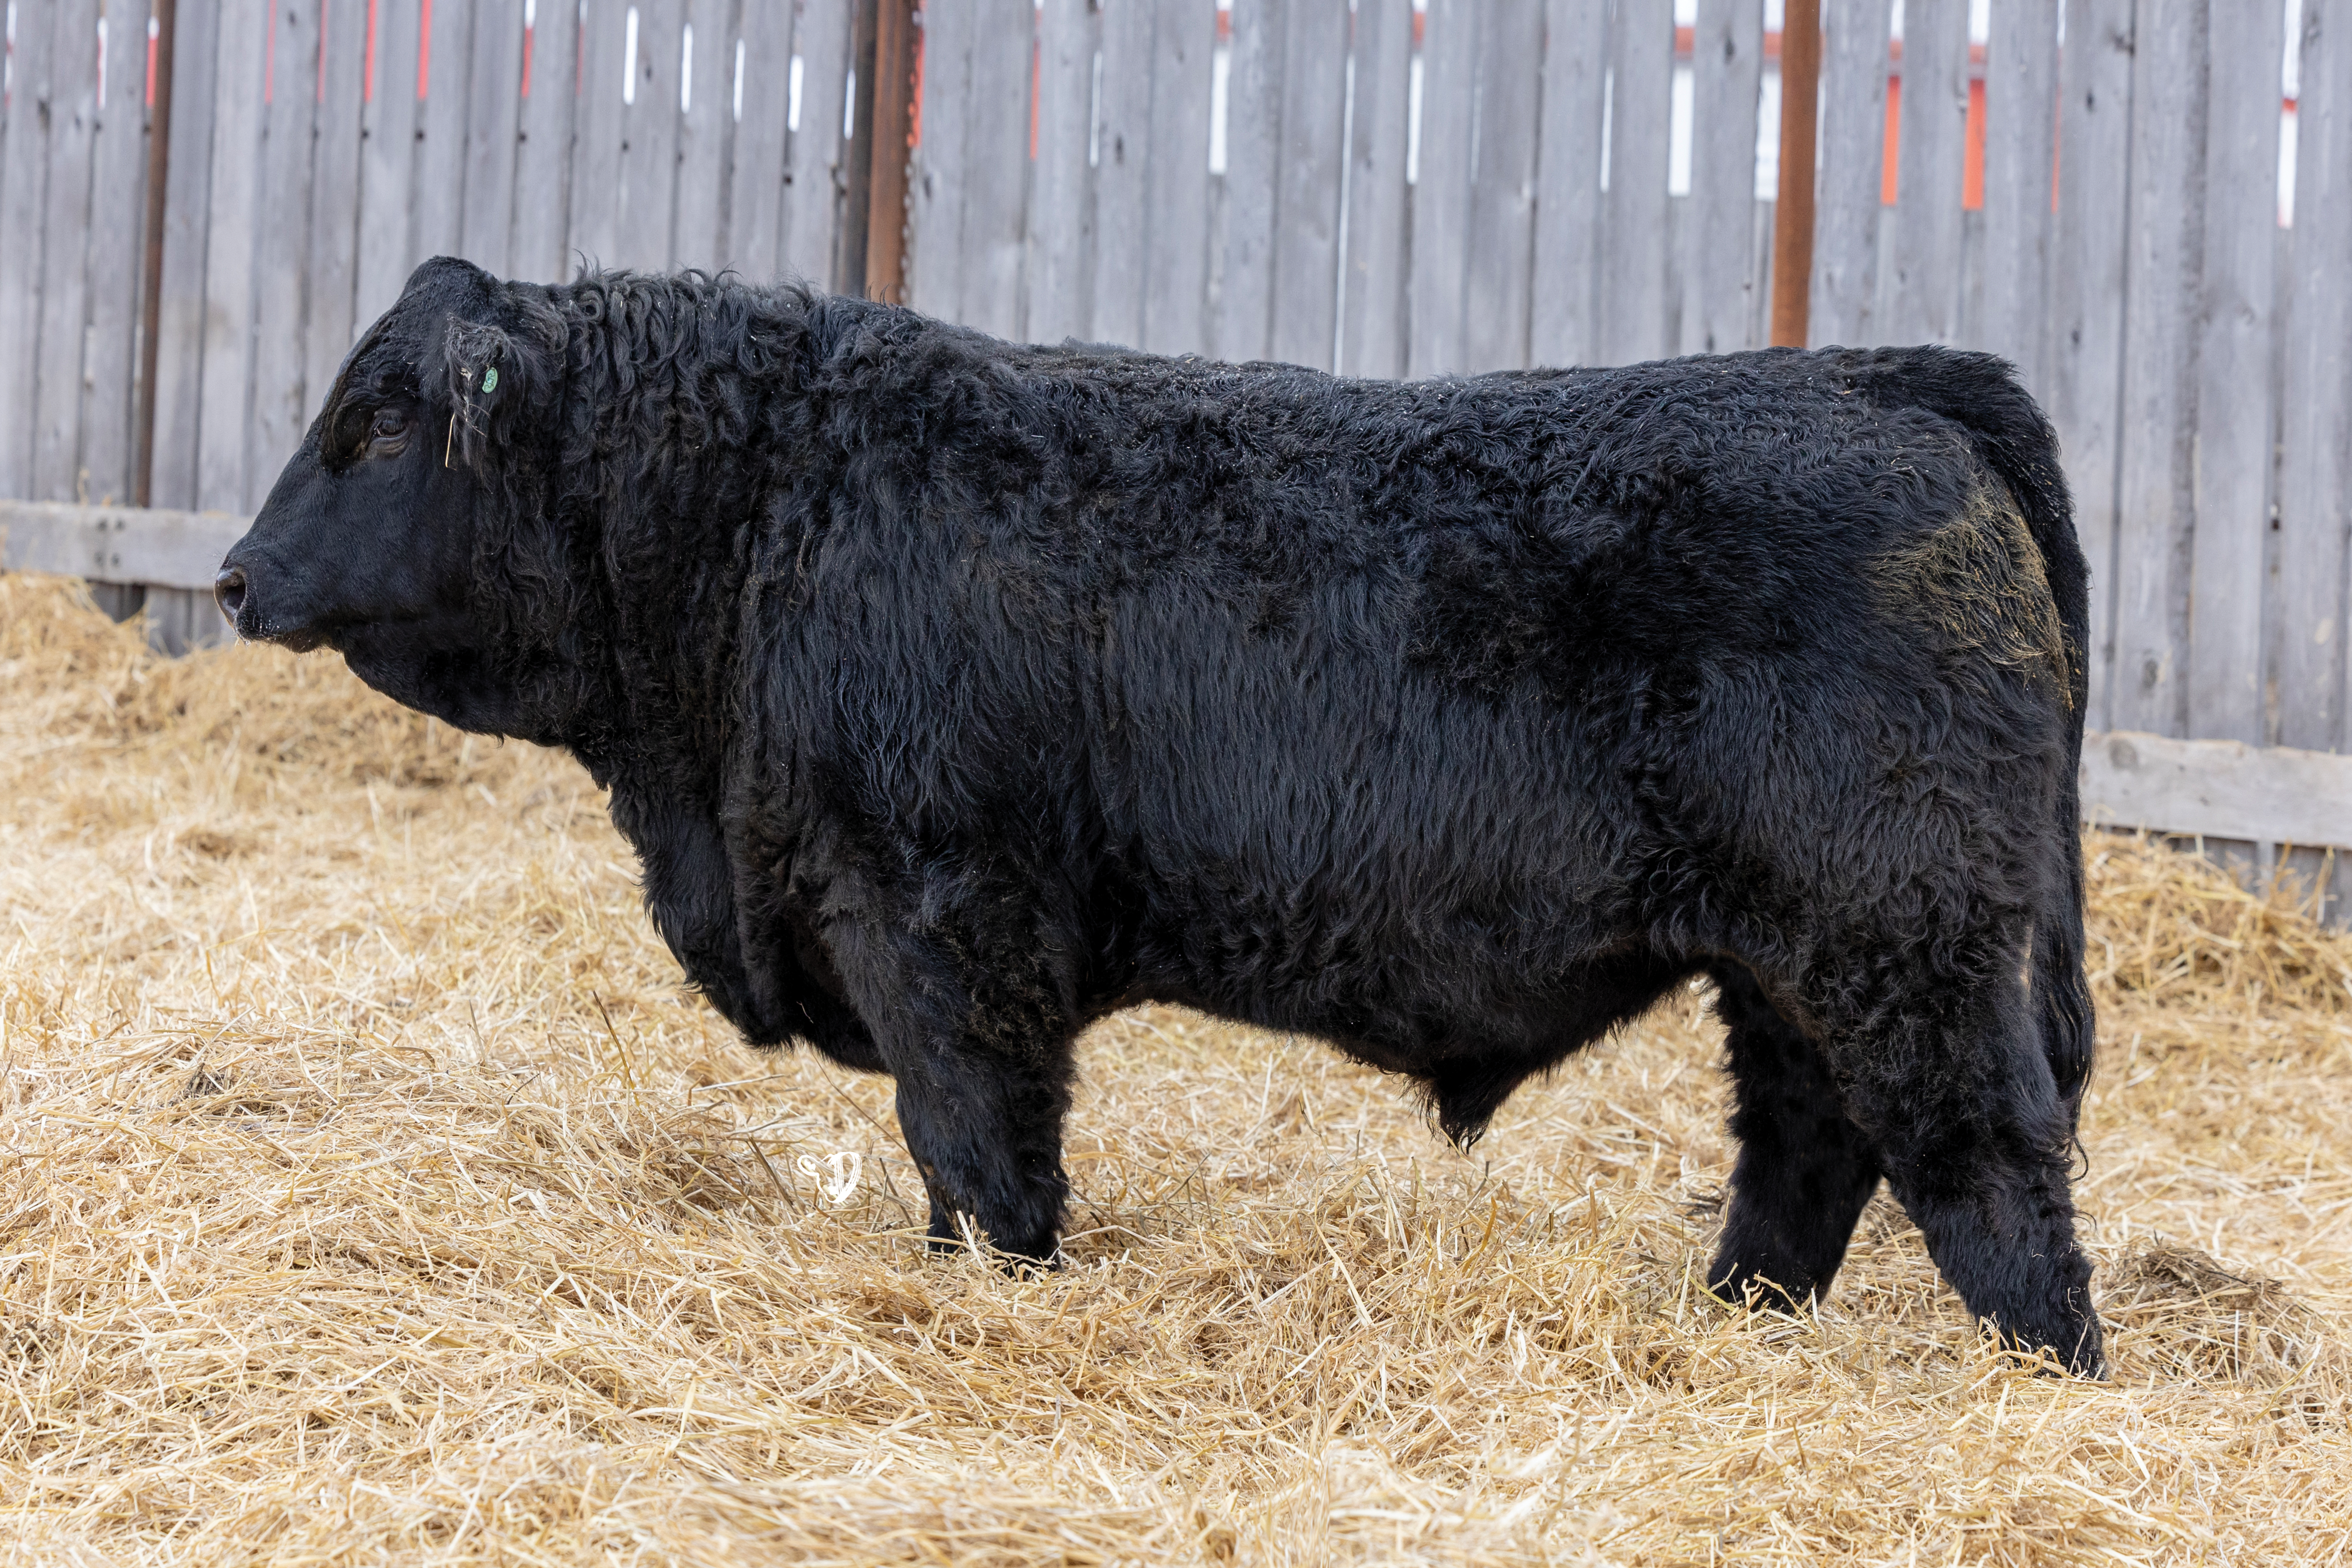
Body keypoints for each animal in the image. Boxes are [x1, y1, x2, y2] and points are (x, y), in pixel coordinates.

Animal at [217, 257, 2104, 1376]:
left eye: (379, 421)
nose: (234, 575)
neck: (766, 514)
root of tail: (1880, 377)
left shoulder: (945, 924)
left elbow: (983, 1152)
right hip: (1798, 960)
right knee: (1809, 1146)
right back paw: (1733, 1329)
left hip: (1906, 934)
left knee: (1983, 1160)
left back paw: (2045, 1373)